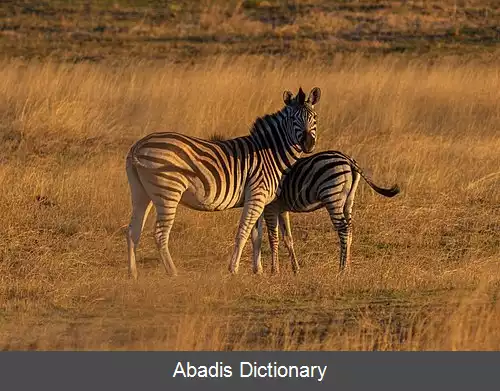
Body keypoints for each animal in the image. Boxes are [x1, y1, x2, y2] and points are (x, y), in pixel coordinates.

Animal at [124, 87, 320, 280]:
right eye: (293, 119)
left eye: (315, 118)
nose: (308, 144)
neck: (270, 153)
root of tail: (138, 146)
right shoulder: (257, 195)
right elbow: (243, 232)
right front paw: (233, 269)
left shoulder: (257, 198)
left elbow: (256, 236)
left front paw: (258, 270)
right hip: (168, 191)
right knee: (160, 234)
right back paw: (173, 273)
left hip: (141, 193)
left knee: (133, 231)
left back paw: (133, 274)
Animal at [252, 150, 400, 276]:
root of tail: (348, 160)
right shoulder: (281, 209)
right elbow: (287, 238)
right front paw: (295, 269)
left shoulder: (270, 207)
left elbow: (271, 238)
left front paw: (273, 271)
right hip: (348, 201)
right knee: (350, 230)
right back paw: (348, 267)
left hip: (332, 196)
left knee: (343, 229)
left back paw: (342, 269)